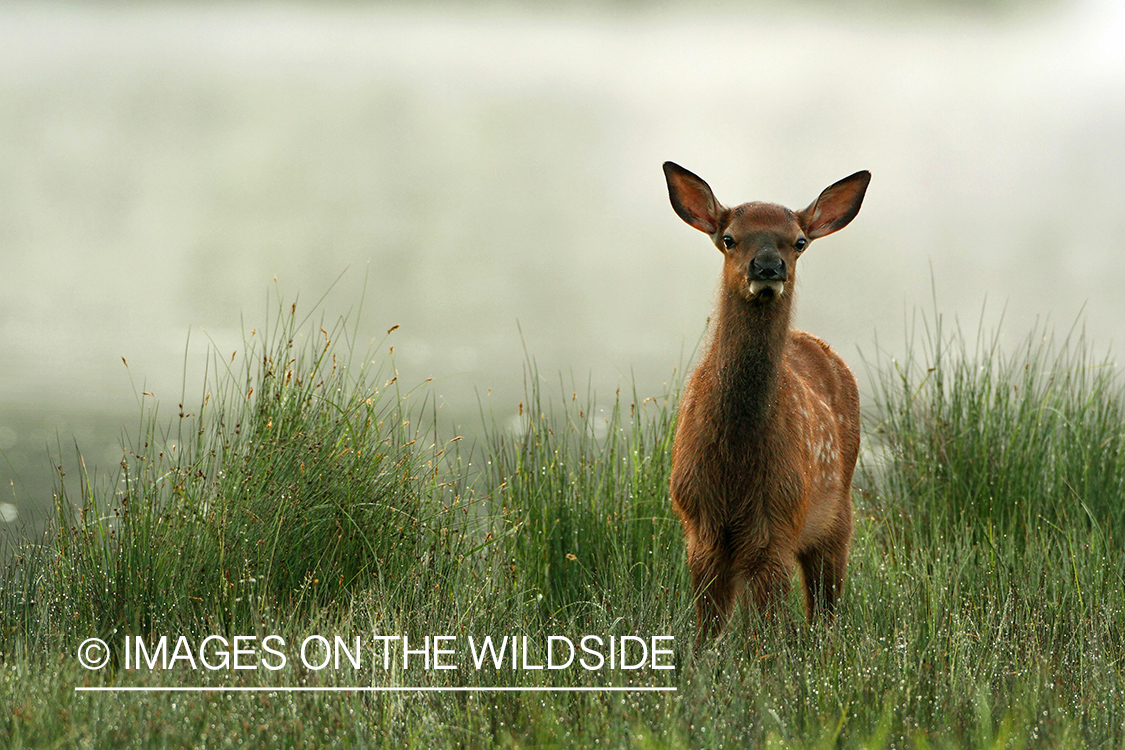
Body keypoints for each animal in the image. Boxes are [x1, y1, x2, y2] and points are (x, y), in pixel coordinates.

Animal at [662, 162, 869, 640]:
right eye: (729, 238)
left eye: (799, 241)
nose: (769, 267)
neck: (736, 458)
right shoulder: (698, 523)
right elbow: (708, 628)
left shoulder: (778, 522)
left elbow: (766, 630)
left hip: (837, 515)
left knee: (824, 608)